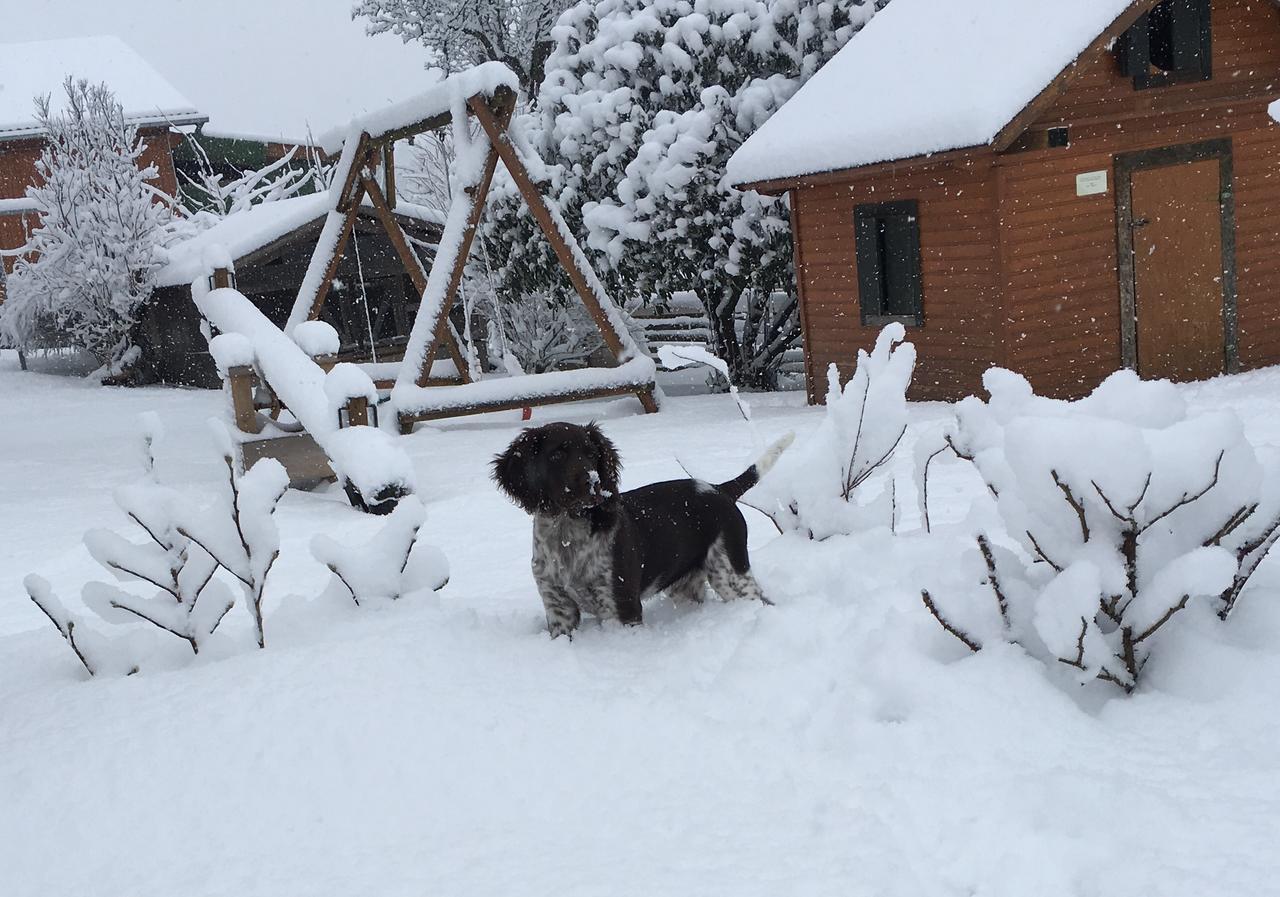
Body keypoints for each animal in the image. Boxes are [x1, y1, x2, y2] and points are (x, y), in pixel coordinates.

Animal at [488, 419, 788, 637]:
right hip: (685, 585)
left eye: (592, 454)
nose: (594, 482)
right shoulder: (558, 605)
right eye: (557, 455)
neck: (566, 532)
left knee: (760, 598)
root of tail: (719, 489)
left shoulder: (621, 607)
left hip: (730, 573)